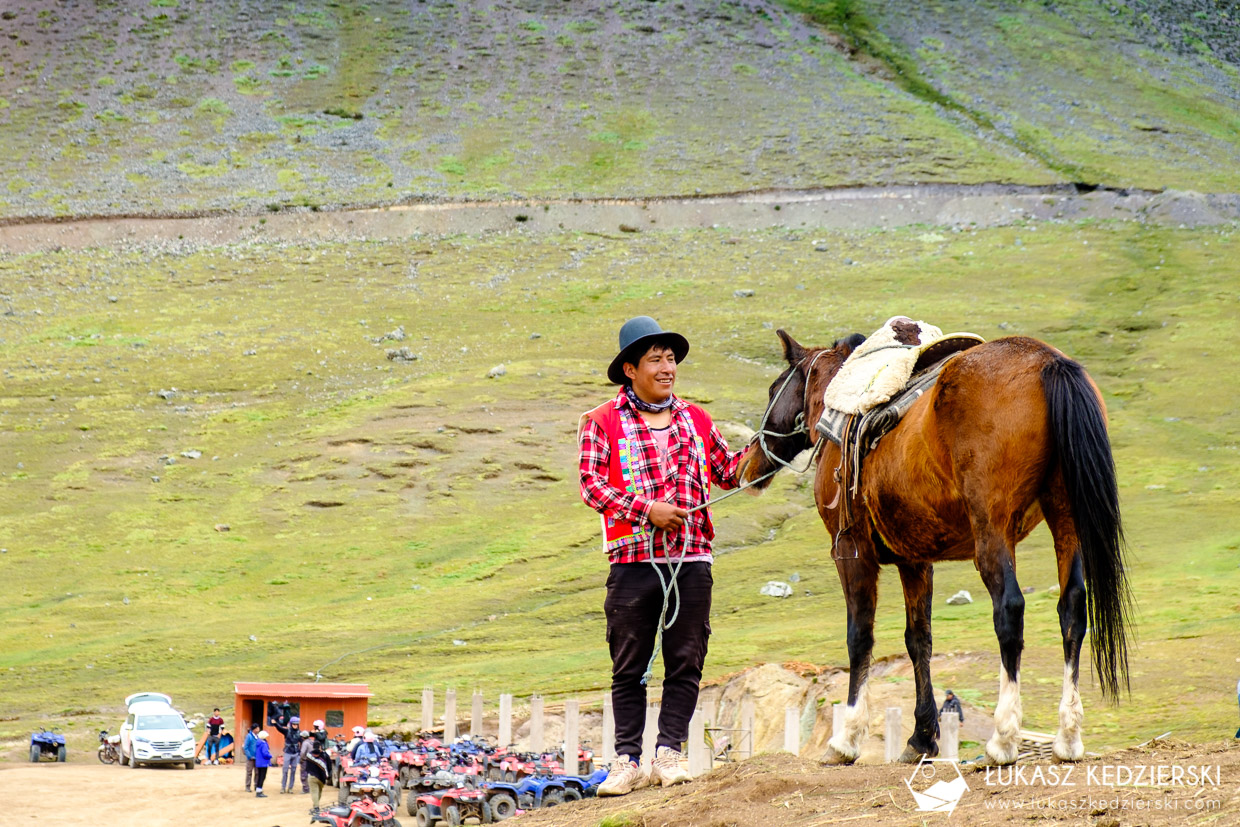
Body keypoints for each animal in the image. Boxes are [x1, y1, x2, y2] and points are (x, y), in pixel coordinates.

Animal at [739, 327, 1130, 768]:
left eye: (773, 389)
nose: (748, 464)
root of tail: (1048, 362)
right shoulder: (915, 560)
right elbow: (918, 639)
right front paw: (922, 738)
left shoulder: (851, 552)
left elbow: (860, 637)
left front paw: (846, 739)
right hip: (1065, 517)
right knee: (1073, 608)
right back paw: (1068, 737)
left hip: (992, 529)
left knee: (1010, 610)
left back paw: (1003, 740)